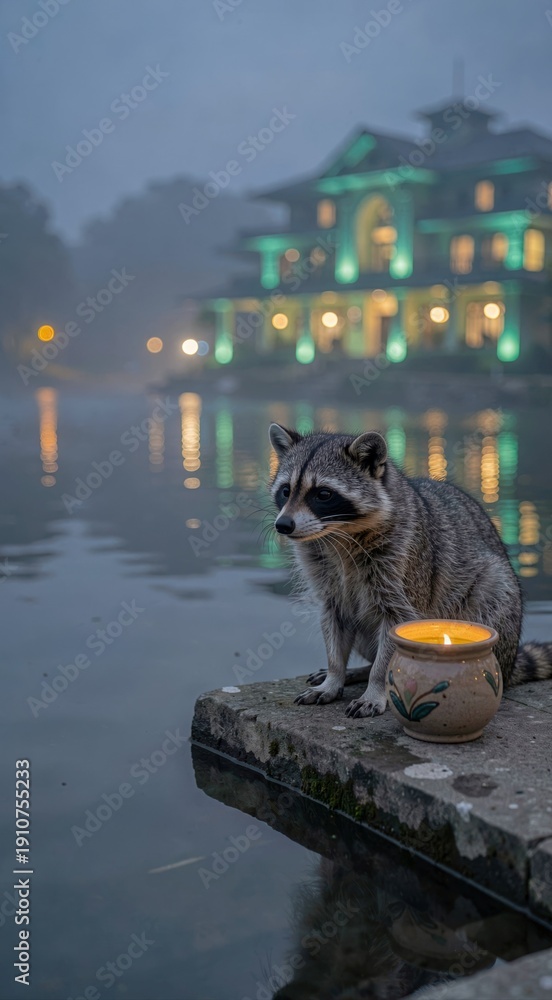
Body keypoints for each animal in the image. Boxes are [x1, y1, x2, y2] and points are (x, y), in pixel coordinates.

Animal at [269, 423, 552, 719]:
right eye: (286, 490)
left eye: (323, 494)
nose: (283, 525)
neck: (338, 534)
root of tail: (510, 663)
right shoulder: (326, 579)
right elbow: (333, 619)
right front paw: (335, 676)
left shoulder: (405, 564)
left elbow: (398, 627)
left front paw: (377, 684)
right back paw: (359, 670)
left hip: (495, 602)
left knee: (490, 595)